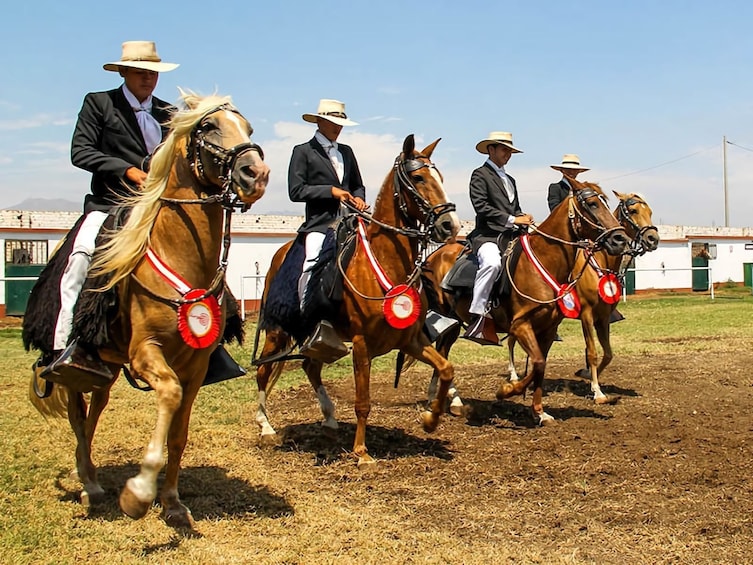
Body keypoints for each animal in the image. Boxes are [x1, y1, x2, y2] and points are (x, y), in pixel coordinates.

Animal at [27, 92, 270, 528]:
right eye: (208, 126)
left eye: (248, 128)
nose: (255, 173)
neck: (179, 255)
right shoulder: (145, 353)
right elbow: (168, 394)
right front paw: (139, 493)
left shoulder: (196, 366)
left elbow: (179, 432)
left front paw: (172, 502)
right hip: (75, 369)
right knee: (78, 418)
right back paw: (89, 484)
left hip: (106, 368)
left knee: (94, 412)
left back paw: (91, 477)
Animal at [256, 133, 462, 468]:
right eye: (418, 178)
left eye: (441, 177)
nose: (450, 226)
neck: (383, 261)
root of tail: (280, 252)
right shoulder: (362, 342)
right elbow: (363, 401)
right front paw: (362, 453)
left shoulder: (411, 340)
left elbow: (446, 368)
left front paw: (430, 420)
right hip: (277, 331)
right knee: (263, 372)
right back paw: (265, 427)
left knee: (310, 367)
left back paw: (329, 419)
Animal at [420, 178, 624, 426]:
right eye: (592, 204)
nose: (620, 239)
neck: (544, 262)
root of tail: (434, 255)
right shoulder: (520, 326)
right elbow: (537, 363)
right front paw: (507, 390)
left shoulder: (547, 330)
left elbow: (540, 367)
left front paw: (539, 412)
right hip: (446, 319)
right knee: (439, 351)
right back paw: (442, 399)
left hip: (453, 322)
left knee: (442, 352)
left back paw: (448, 401)